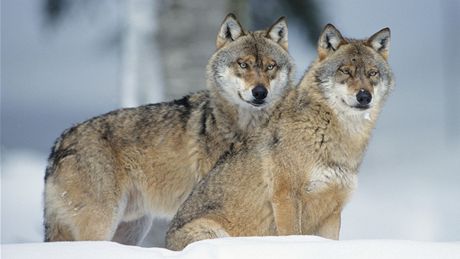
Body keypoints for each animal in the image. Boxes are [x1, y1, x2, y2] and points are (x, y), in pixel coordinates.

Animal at [43, 14, 294, 246]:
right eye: (243, 64)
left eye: (270, 66)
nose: (260, 92)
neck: (248, 126)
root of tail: (59, 143)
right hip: (102, 225)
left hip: (132, 228)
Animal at [164, 24, 394, 252]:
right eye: (345, 71)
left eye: (372, 73)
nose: (364, 96)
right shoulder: (286, 198)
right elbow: (293, 235)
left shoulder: (332, 211)